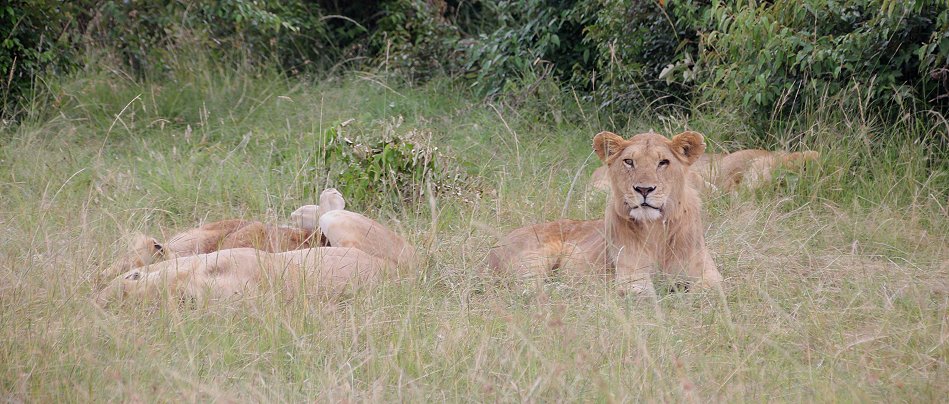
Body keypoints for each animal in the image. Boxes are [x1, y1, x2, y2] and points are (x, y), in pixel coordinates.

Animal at [95, 189, 414, 306]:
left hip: (339, 223)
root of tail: (411, 270)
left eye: (130, 279)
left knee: (331, 208)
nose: (95, 298)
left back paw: (317, 201)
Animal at [488, 132, 724, 296]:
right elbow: (648, 292)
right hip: (533, 257)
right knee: (528, 288)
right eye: (629, 161)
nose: (644, 189)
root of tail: (496, 244)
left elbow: (707, 291)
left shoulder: (710, 276)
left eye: (663, 162)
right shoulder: (631, 277)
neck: (656, 229)